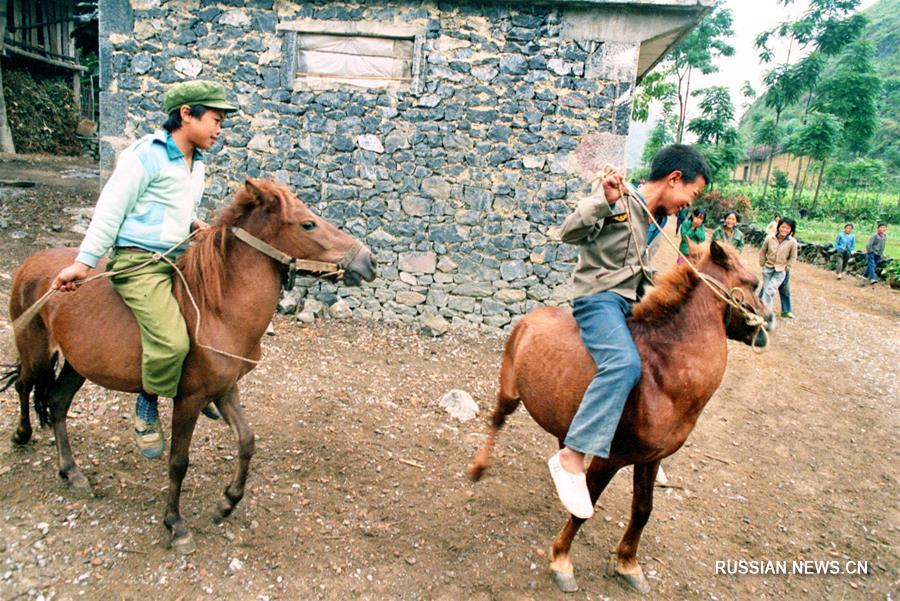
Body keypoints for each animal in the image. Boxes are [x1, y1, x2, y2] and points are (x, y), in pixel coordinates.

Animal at [1, 177, 374, 552]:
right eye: (308, 224)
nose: (367, 261)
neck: (217, 310)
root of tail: (32, 263)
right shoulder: (189, 400)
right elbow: (179, 461)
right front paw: (175, 524)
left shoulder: (225, 389)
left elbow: (247, 441)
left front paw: (227, 502)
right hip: (36, 352)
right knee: (23, 385)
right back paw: (22, 434)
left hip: (77, 366)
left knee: (57, 402)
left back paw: (72, 472)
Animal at [468, 240, 768, 596]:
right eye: (753, 283)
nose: (769, 320)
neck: (663, 374)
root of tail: (533, 315)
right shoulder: (610, 458)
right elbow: (587, 509)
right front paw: (561, 559)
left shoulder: (650, 458)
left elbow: (642, 510)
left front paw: (628, 563)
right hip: (509, 391)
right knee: (497, 420)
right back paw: (479, 466)